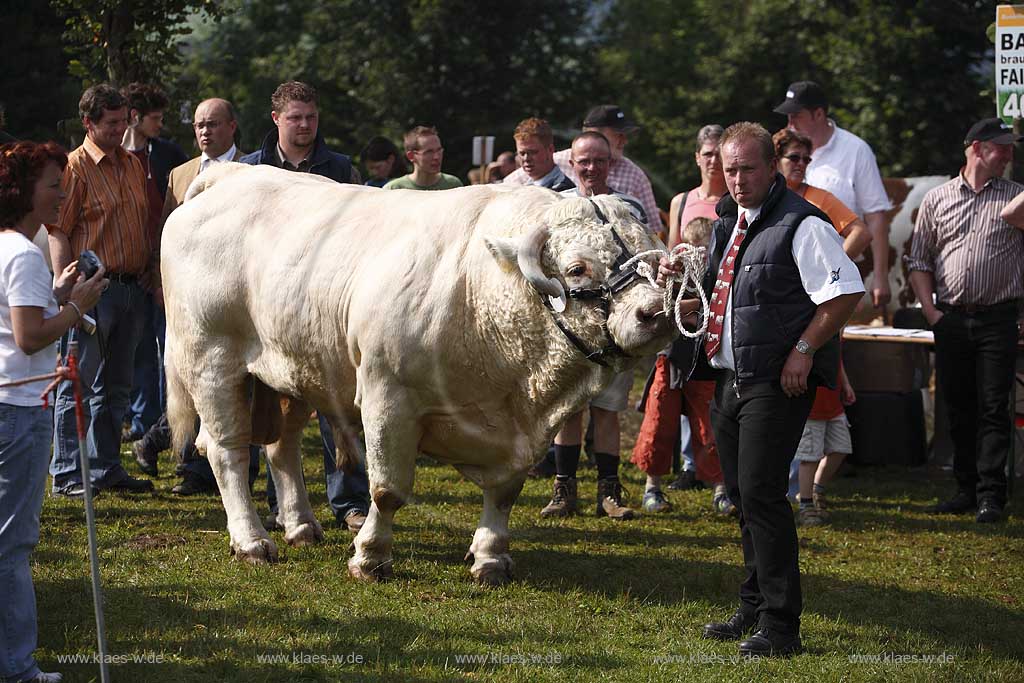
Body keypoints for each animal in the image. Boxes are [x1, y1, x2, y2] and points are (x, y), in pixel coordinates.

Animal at [161, 162, 679, 585]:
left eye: (655, 261)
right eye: (577, 269)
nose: (655, 313)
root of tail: (230, 174)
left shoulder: (520, 433)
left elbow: (505, 493)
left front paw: (490, 558)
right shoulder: (388, 397)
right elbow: (388, 489)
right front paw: (370, 557)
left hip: (290, 368)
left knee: (280, 446)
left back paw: (301, 526)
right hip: (211, 358)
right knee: (226, 450)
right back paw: (251, 540)